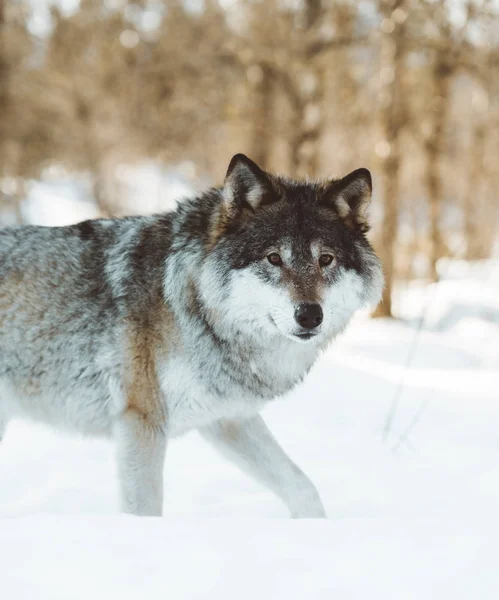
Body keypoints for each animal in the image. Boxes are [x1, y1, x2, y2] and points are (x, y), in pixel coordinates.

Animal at [0, 154, 382, 516]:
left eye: (326, 260)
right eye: (273, 258)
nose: (309, 315)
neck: (196, 305)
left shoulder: (228, 418)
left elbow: (303, 488)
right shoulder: (143, 421)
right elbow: (146, 511)